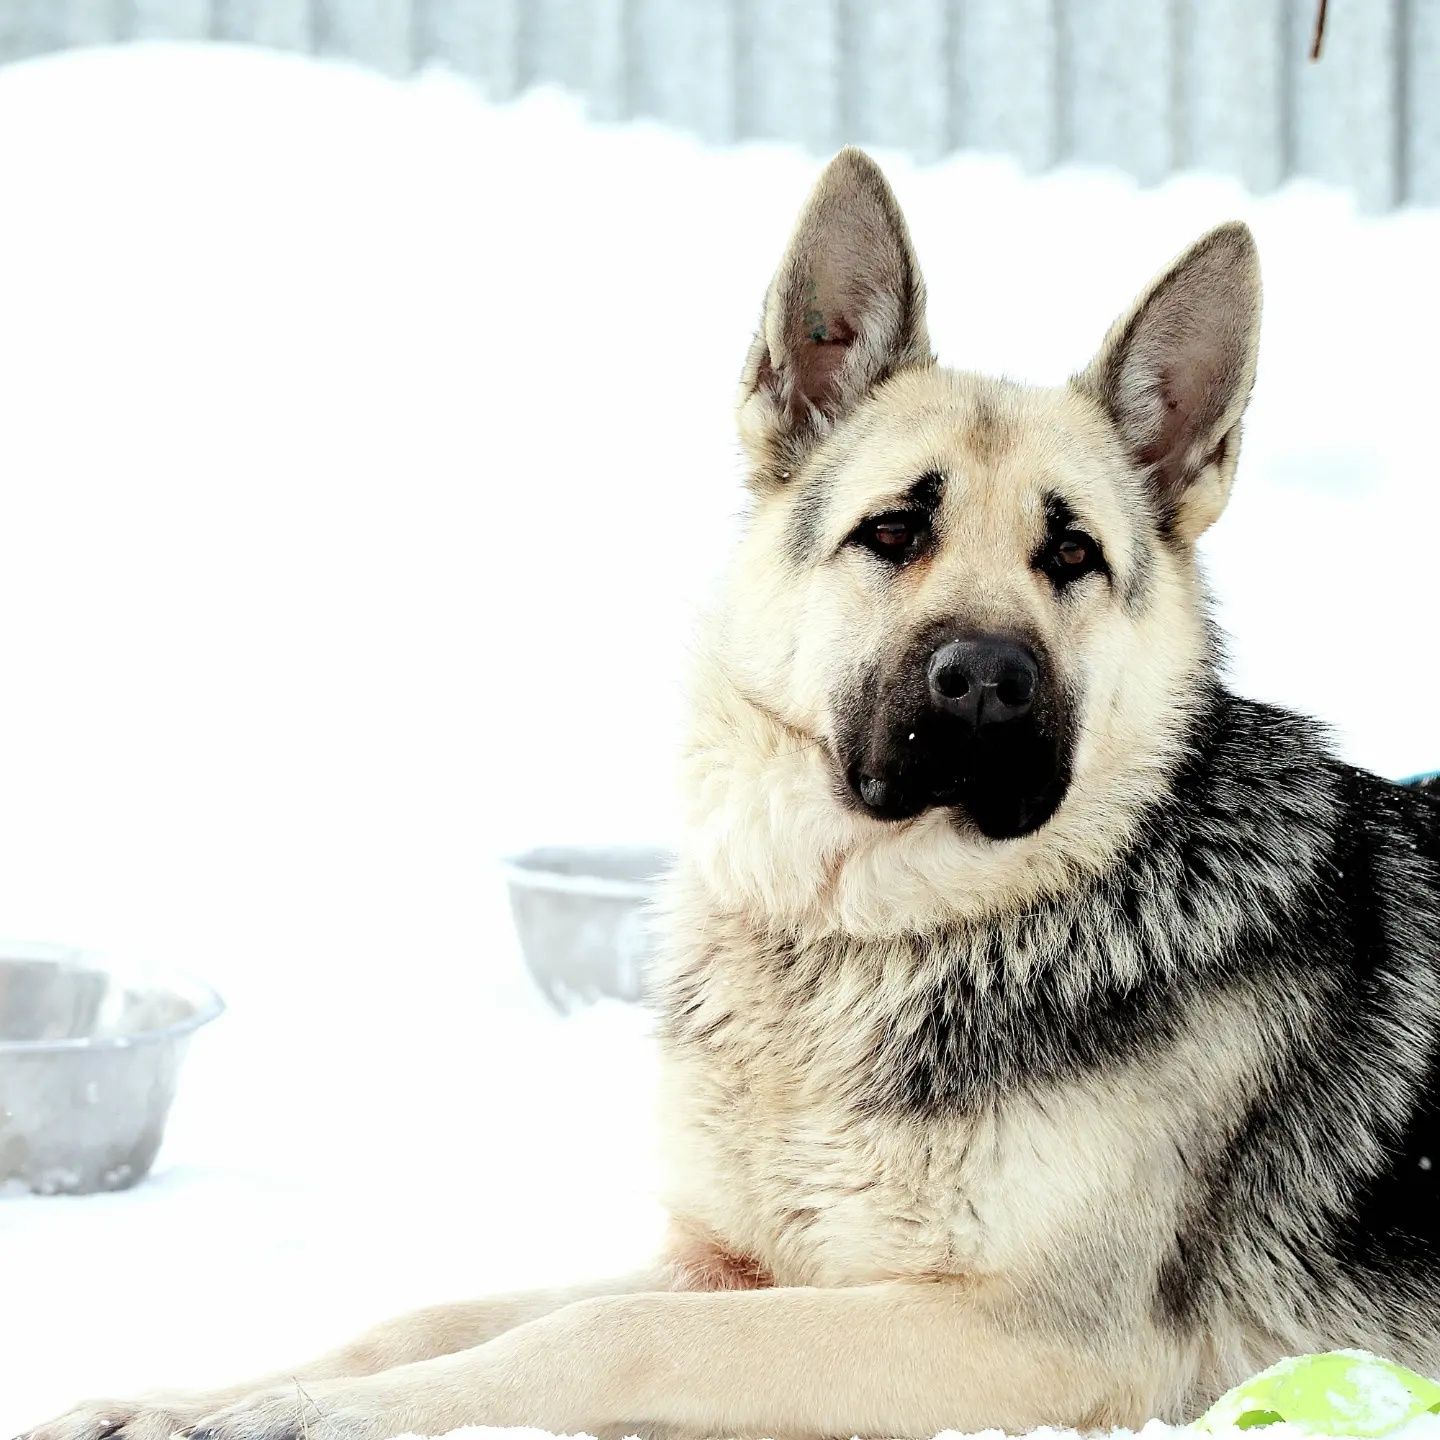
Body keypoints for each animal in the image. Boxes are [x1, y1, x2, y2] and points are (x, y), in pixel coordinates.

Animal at [22, 151, 1440, 1440]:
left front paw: (301, 1417)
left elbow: (609, 1334)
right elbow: (433, 1319)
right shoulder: (731, 1264)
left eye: (1073, 555)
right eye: (893, 530)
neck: (872, 935)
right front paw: (195, 1399)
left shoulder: (1027, 1338)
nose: (985, 682)